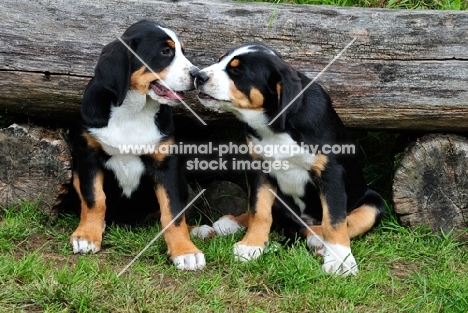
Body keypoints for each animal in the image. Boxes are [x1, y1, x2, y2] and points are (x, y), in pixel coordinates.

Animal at [71, 19, 207, 270]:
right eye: (165, 52)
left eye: (183, 52)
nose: (198, 75)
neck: (132, 111)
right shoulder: (88, 156)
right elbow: (94, 199)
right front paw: (87, 236)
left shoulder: (167, 165)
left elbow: (173, 212)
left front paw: (185, 251)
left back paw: (200, 230)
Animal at [193, 42, 384, 274]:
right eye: (220, 60)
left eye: (236, 71)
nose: (198, 75)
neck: (276, 126)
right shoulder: (260, 169)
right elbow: (259, 211)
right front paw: (251, 245)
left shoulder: (330, 174)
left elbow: (335, 221)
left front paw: (340, 261)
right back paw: (227, 224)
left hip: (373, 204)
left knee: (339, 223)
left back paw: (318, 241)